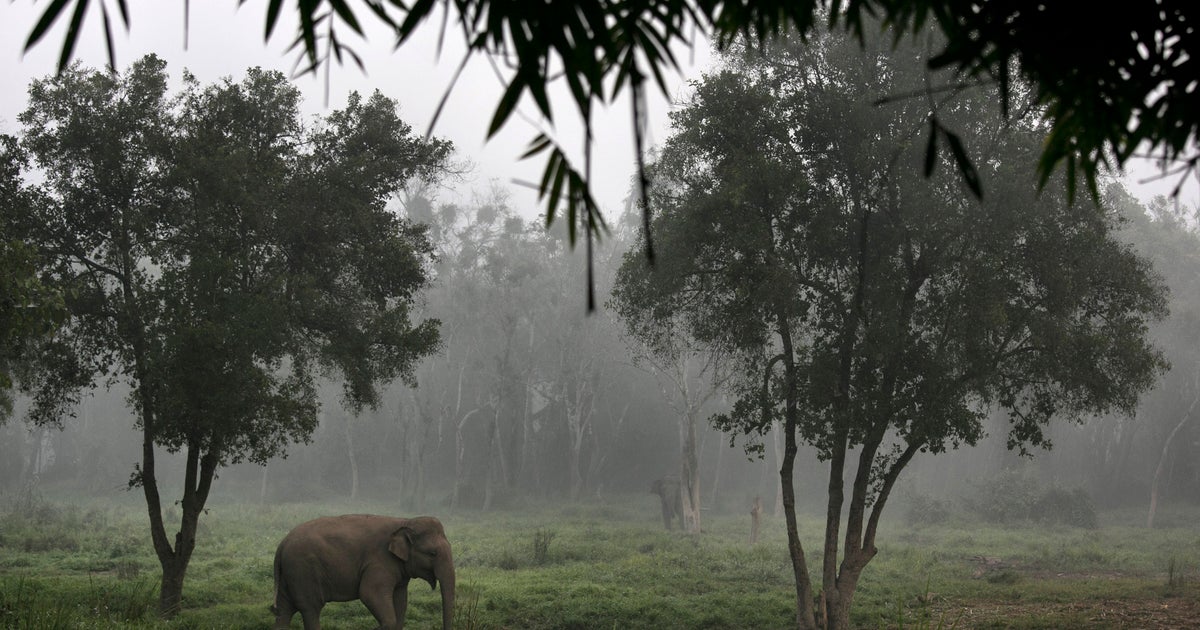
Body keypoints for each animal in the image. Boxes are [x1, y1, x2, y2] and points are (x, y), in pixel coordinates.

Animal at [271, 514, 455, 630]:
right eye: (433, 553)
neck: (404, 521)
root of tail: (282, 544)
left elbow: (401, 600)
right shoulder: (379, 561)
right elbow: (369, 593)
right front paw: (379, 627)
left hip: (290, 574)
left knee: (284, 609)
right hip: (303, 571)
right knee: (311, 608)